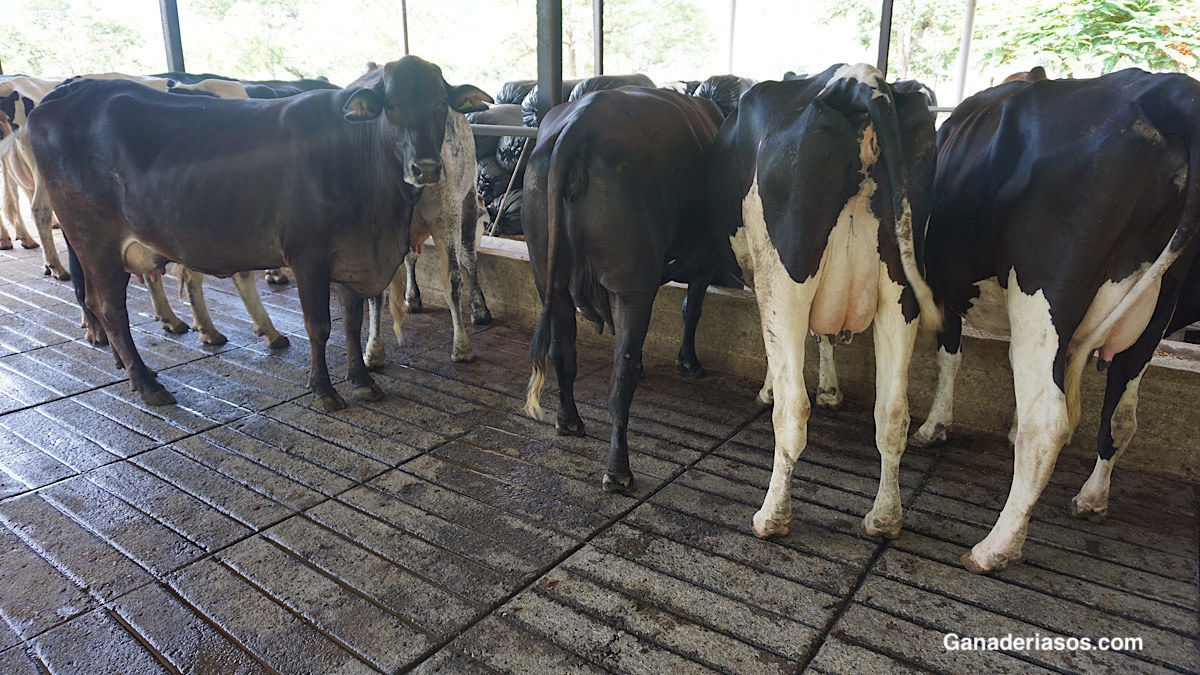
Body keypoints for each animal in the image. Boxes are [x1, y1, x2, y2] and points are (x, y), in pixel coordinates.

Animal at [32, 55, 492, 410]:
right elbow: (319, 325)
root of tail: (64, 93)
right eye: (390, 104)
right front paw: (323, 389)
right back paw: (148, 384)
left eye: (441, 104)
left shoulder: (353, 253)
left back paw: (126, 368)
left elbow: (352, 321)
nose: (426, 168)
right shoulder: (308, 255)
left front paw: (362, 380)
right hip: (94, 240)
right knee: (110, 309)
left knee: (101, 303)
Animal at [523, 86, 734, 492]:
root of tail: (581, 121)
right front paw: (689, 362)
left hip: (547, 277)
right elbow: (692, 308)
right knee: (619, 384)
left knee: (562, 353)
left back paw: (569, 421)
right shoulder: (705, 260)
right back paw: (618, 471)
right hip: (631, 286)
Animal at [705, 63, 940, 540]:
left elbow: (777, 353)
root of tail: (859, 80)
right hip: (902, 285)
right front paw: (832, 389)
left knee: (795, 410)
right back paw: (885, 517)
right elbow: (825, 335)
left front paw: (769, 389)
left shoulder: (762, 275)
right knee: (893, 413)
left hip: (786, 274)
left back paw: (772, 516)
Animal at [907, 68, 1200, 569]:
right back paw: (1091, 499)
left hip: (1043, 291)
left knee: (1048, 420)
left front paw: (934, 427)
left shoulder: (946, 288)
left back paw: (996, 547)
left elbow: (950, 354)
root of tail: (1165, 89)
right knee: (1120, 415)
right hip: (1157, 307)